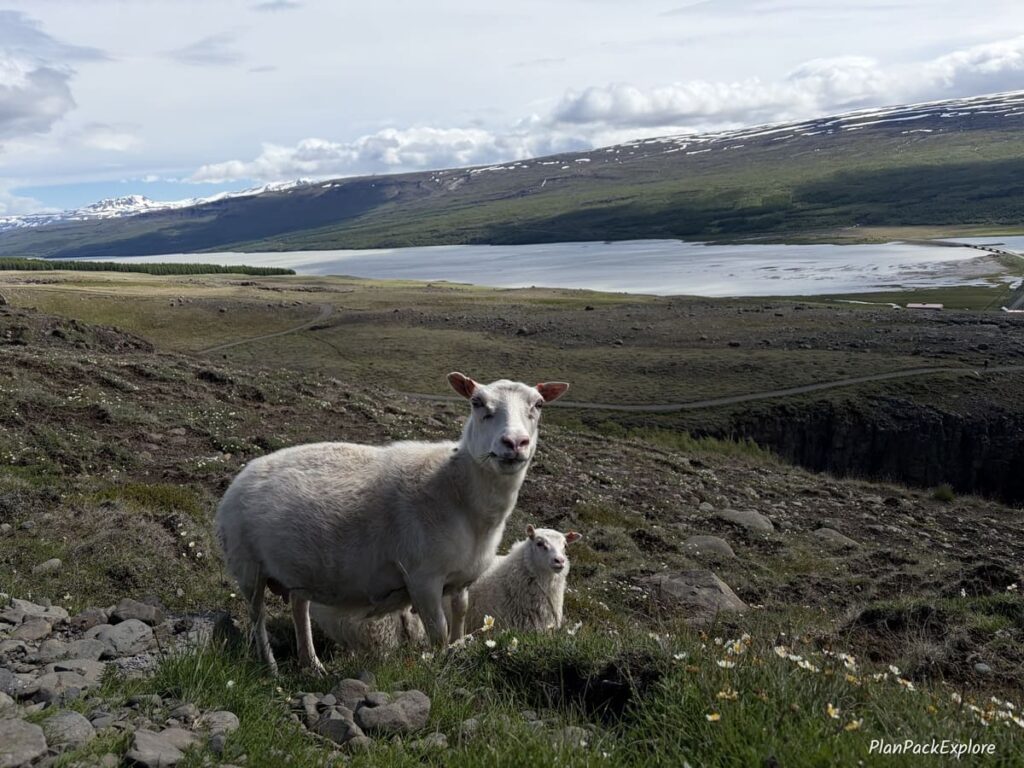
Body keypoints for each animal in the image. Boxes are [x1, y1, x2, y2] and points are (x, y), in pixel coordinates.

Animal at [215, 372, 569, 674]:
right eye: (477, 402)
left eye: (538, 404)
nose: (515, 443)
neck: (458, 490)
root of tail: (242, 475)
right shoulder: (423, 579)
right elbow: (439, 634)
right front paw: (442, 668)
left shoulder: (461, 582)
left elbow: (459, 619)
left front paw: (458, 652)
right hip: (248, 568)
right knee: (258, 618)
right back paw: (271, 667)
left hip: (297, 573)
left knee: (299, 609)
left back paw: (311, 664)